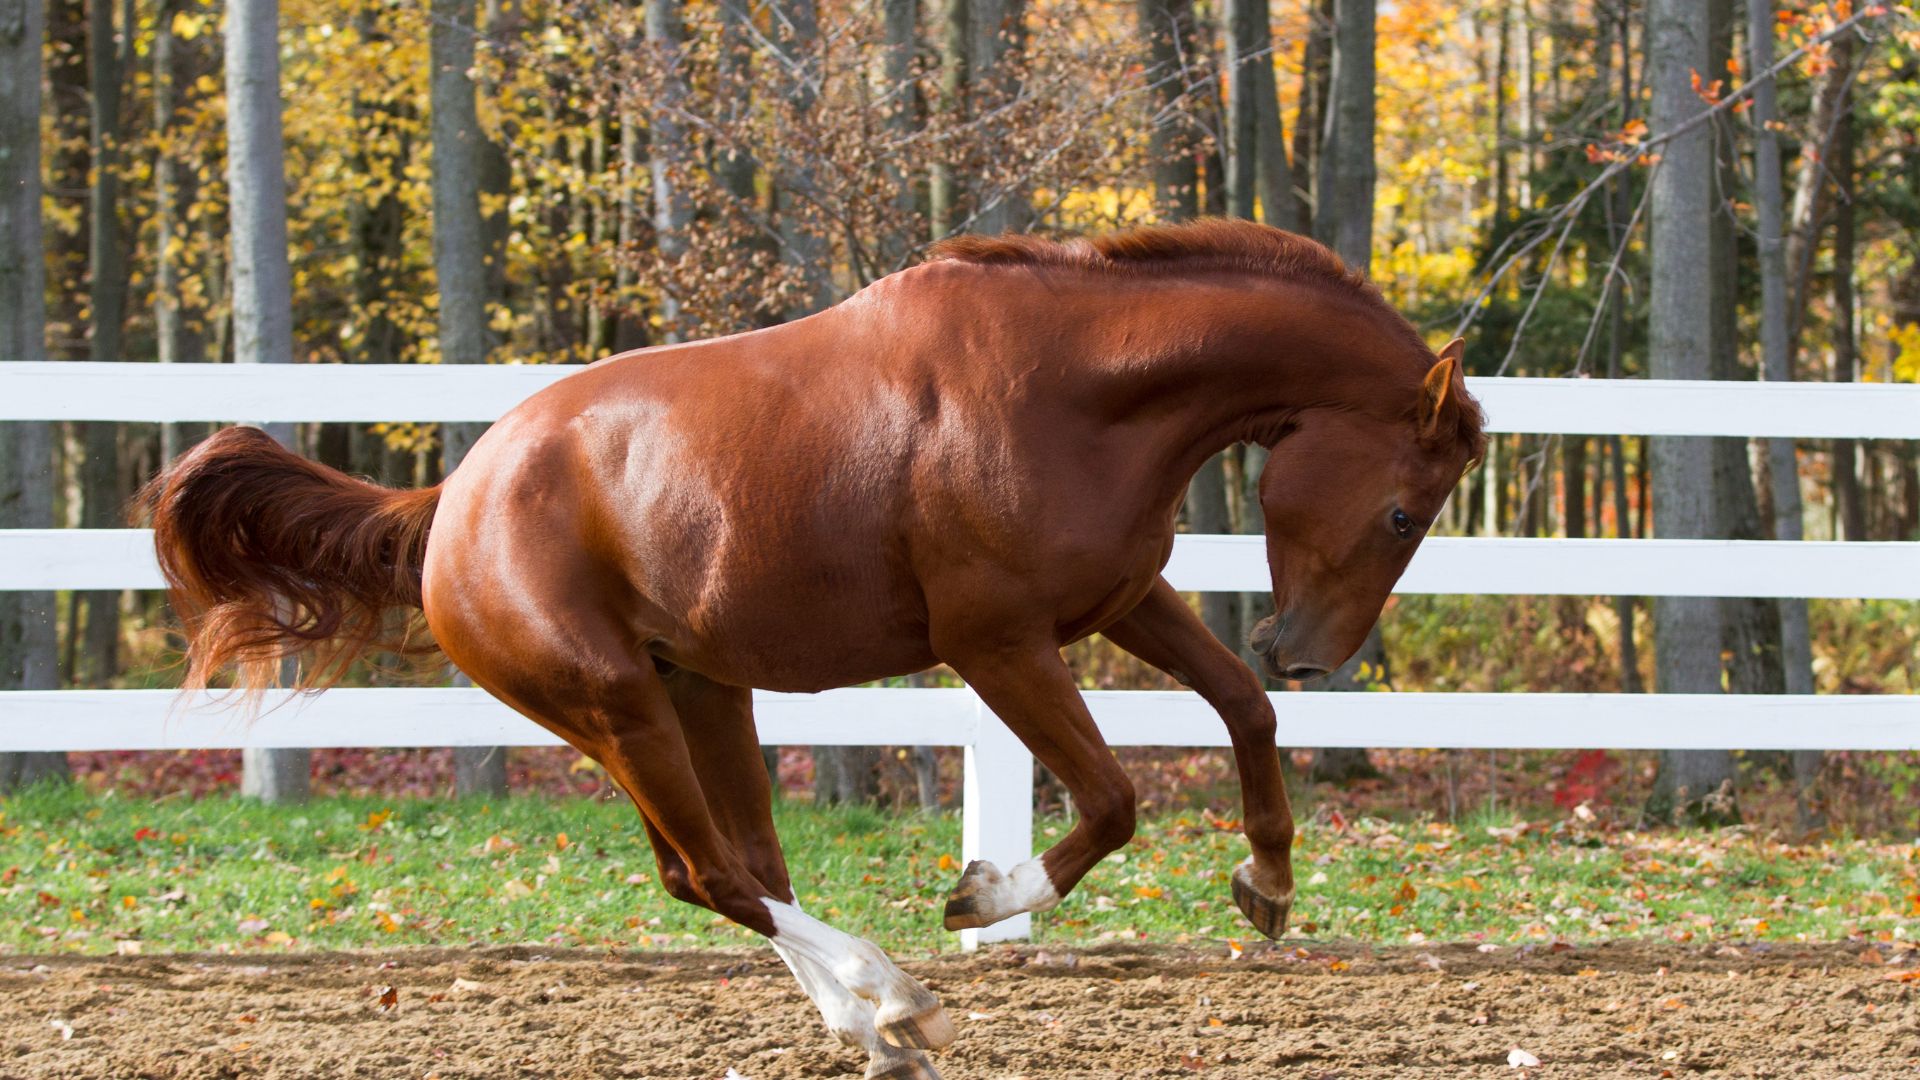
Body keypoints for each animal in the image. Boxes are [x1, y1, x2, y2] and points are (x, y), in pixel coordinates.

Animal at [139, 219, 1485, 1080]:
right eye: (1405, 513)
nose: (1310, 648)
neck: (1079, 391)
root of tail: (447, 505)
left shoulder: (1119, 599)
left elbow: (1242, 707)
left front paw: (1267, 884)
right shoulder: (998, 643)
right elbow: (1112, 800)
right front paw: (982, 896)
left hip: (703, 693)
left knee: (739, 869)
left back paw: (874, 1026)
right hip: (614, 709)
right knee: (712, 876)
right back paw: (899, 1002)